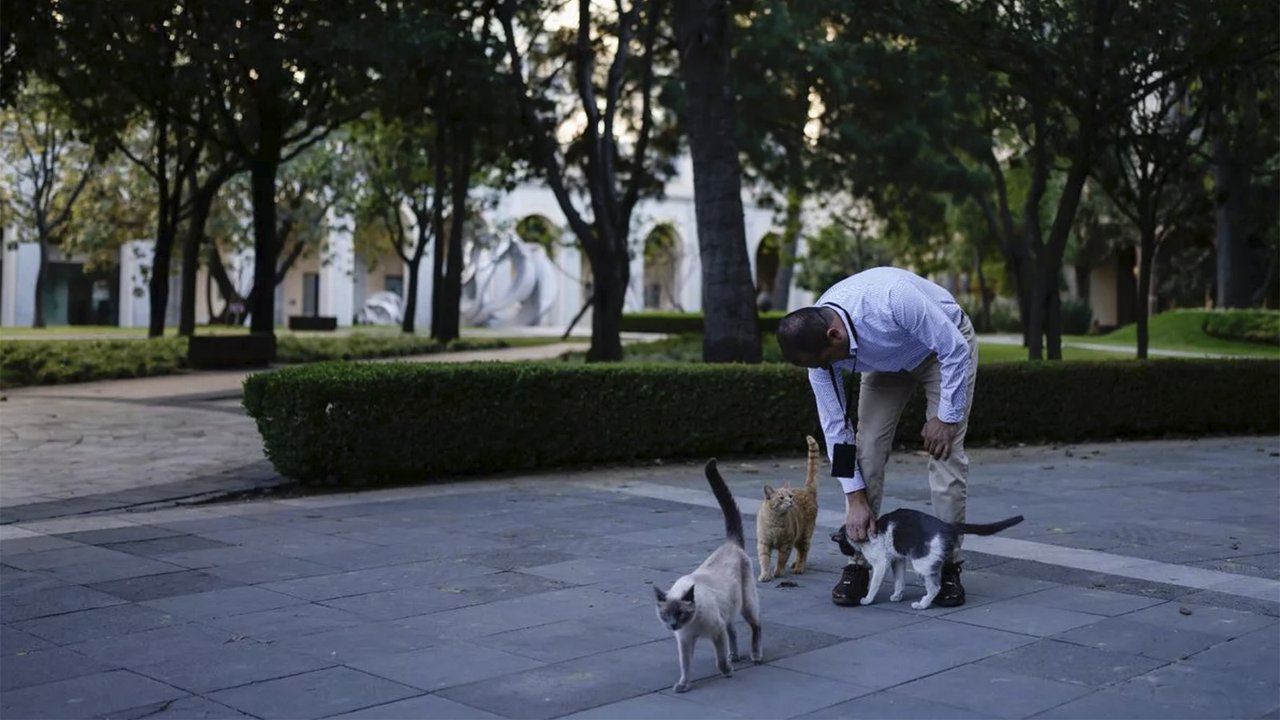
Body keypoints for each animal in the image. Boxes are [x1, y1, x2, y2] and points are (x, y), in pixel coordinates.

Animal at [655, 458, 762, 691]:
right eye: (666, 614)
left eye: (681, 613)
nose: (673, 625)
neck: (693, 626)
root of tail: (730, 543)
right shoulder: (685, 641)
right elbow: (685, 666)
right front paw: (683, 685)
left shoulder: (716, 632)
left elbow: (719, 659)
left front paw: (727, 672)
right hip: (730, 608)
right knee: (733, 630)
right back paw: (735, 656)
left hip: (747, 605)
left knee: (756, 626)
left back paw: (755, 656)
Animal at [747, 435, 819, 579]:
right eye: (781, 498)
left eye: (790, 496)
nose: (791, 501)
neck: (775, 521)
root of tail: (807, 490)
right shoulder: (764, 543)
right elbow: (764, 560)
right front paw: (765, 575)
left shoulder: (786, 545)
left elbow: (781, 560)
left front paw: (777, 573)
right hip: (799, 537)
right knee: (800, 551)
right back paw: (795, 563)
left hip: (804, 534)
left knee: (804, 551)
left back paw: (799, 567)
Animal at [834, 507, 1024, 607]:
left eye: (842, 546)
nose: (846, 552)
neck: (865, 536)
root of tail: (947, 526)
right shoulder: (898, 559)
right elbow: (899, 581)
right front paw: (897, 595)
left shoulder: (881, 563)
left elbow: (874, 584)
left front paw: (867, 599)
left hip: (921, 565)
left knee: (935, 587)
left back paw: (923, 604)